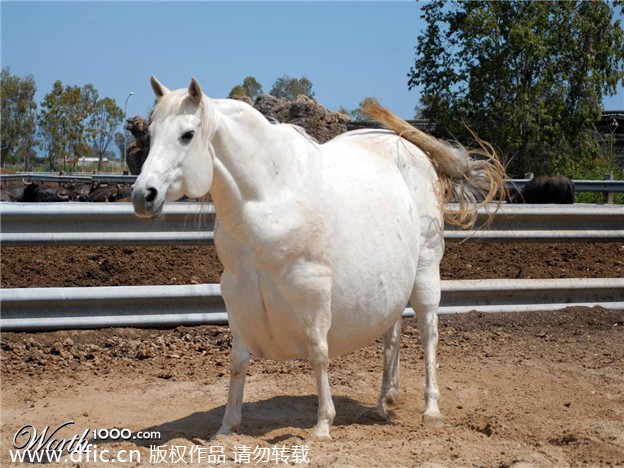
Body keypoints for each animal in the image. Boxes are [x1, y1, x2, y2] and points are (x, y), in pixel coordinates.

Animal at [133, 76, 508, 438]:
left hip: (426, 269)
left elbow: (318, 353)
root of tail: (411, 148)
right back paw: (384, 401)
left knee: (429, 334)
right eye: (151, 133)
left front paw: (323, 425)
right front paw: (226, 428)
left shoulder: (312, 290)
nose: (143, 196)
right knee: (392, 332)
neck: (270, 196)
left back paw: (431, 411)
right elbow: (238, 361)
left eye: (187, 135)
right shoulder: (237, 294)